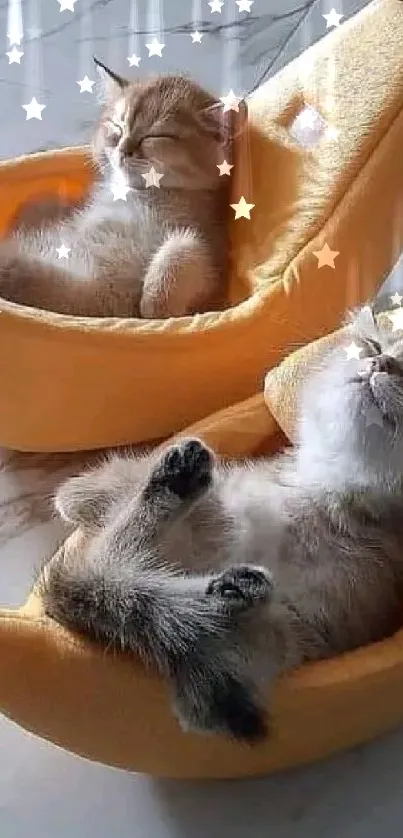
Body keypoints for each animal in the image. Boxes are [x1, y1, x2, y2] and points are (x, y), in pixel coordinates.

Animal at [0, 61, 243, 318]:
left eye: (156, 135)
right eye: (118, 125)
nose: (123, 148)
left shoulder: (213, 259)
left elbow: (185, 249)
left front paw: (157, 302)